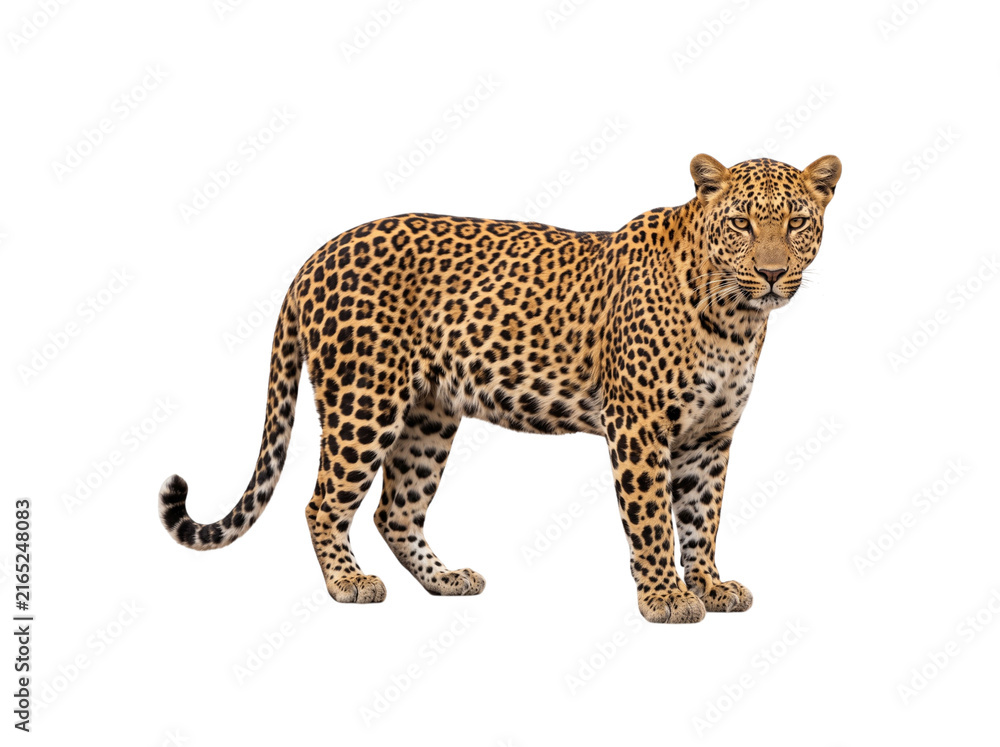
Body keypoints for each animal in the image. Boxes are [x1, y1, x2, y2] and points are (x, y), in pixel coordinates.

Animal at [159, 154, 841, 624]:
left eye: (797, 223)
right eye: (742, 224)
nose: (773, 274)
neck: (736, 320)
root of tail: (315, 256)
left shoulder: (710, 436)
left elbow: (703, 517)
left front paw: (708, 584)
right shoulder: (639, 428)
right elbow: (652, 519)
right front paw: (665, 598)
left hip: (428, 417)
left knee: (394, 510)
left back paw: (446, 580)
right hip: (365, 402)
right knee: (323, 502)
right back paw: (349, 583)